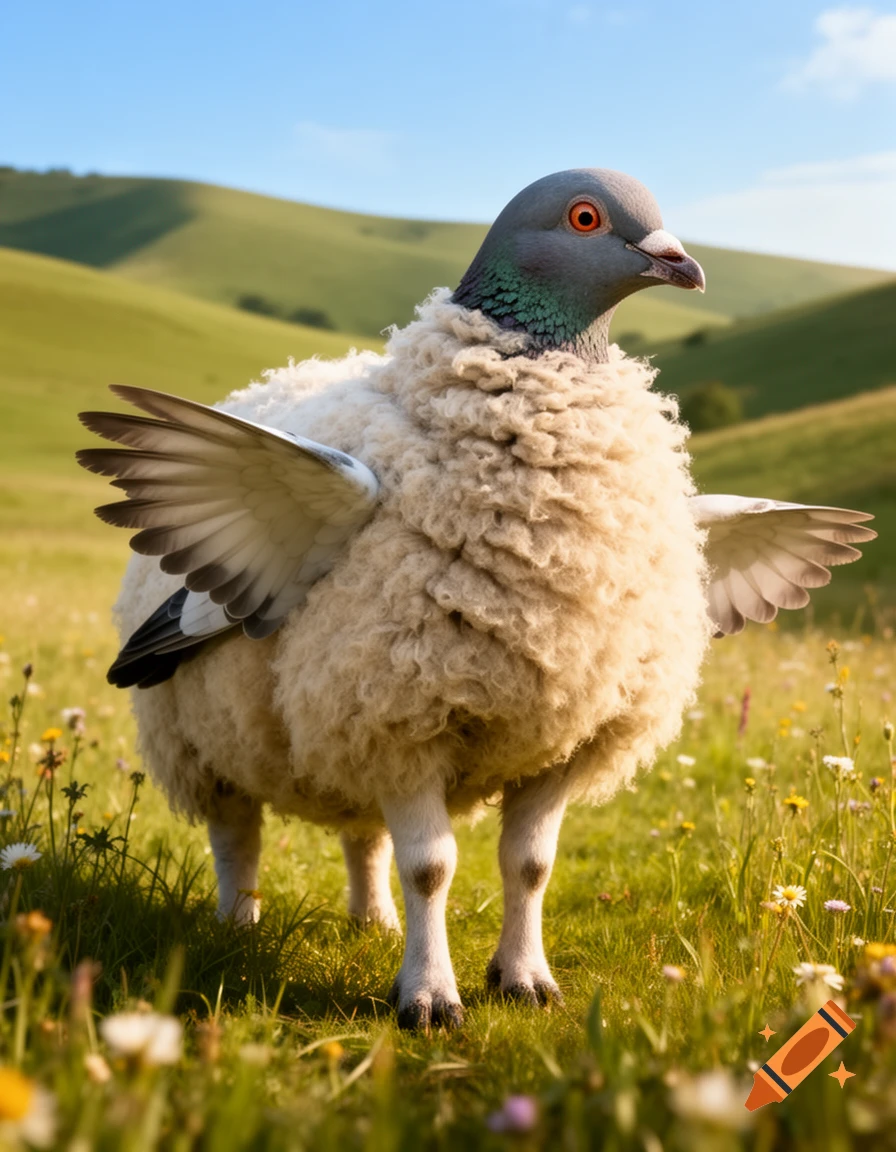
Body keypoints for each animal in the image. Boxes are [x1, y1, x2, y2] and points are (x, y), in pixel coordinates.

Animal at [78, 169, 875, 1029]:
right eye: (586, 218)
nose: (686, 267)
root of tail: (277, 380)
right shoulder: (402, 721)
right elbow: (432, 869)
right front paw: (430, 997)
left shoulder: (564, 736)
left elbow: (529, 866)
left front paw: (524, 980)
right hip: (208, 733)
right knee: (238, 840)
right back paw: (239, 927)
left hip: (336, 739)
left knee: (362, 837)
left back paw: (371, 922)